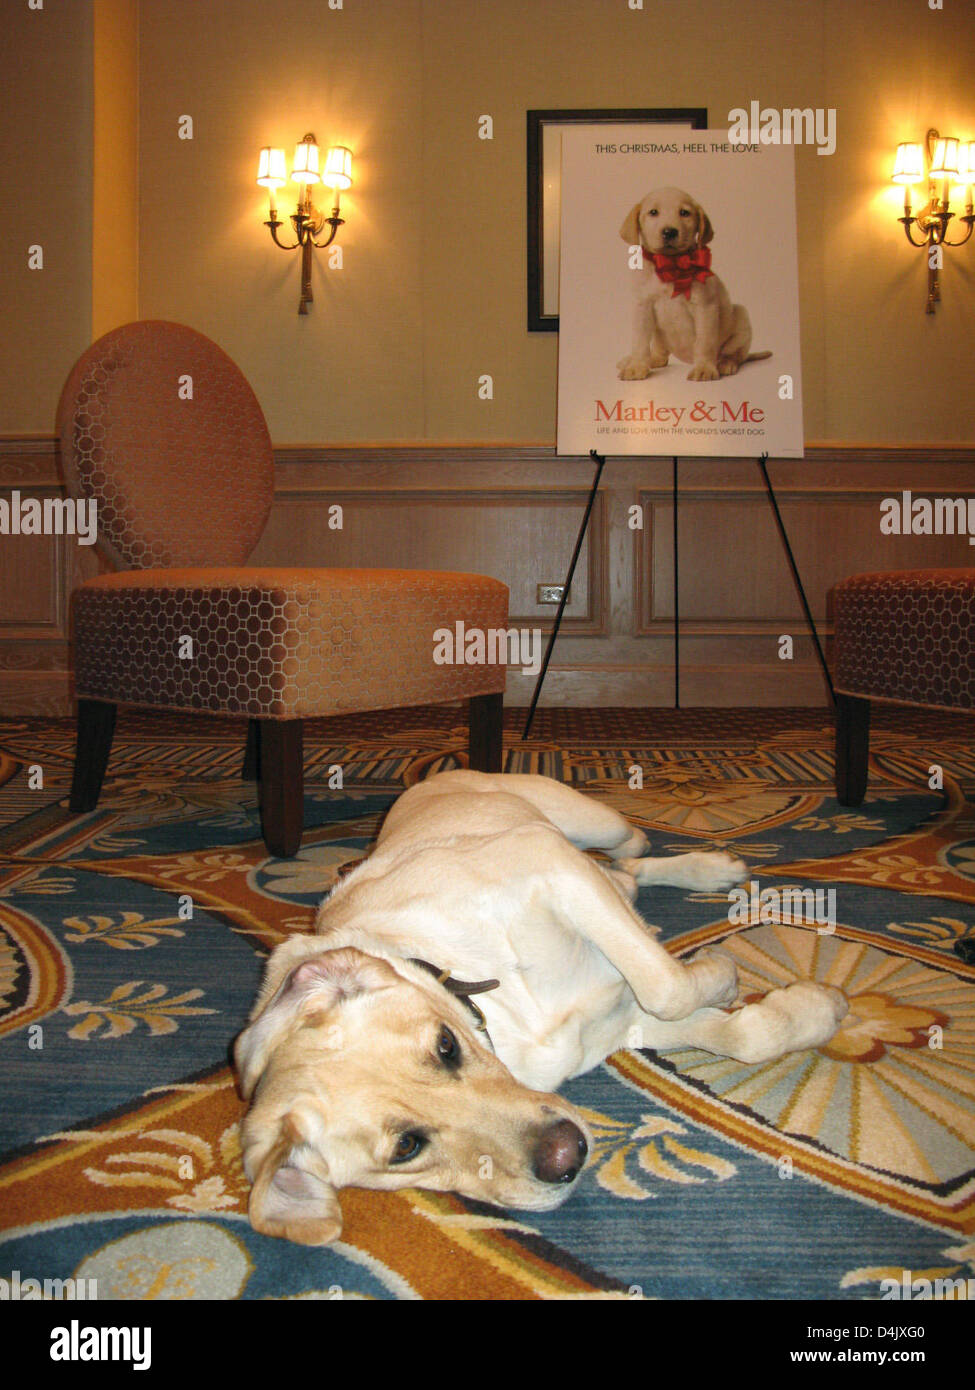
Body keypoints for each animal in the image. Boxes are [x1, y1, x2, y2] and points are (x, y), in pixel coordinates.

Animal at [233, 772, 845, 1251]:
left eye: (445, 1045)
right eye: (407, 1147)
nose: (566, 1155)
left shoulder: (552, 867)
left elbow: (667, 983)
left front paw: (723, 975)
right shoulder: (618, 1022)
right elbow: (730, 1028)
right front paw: (813, 1007)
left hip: (581, 823)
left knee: (629, 851)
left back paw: (708, 865)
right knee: (628, 875)